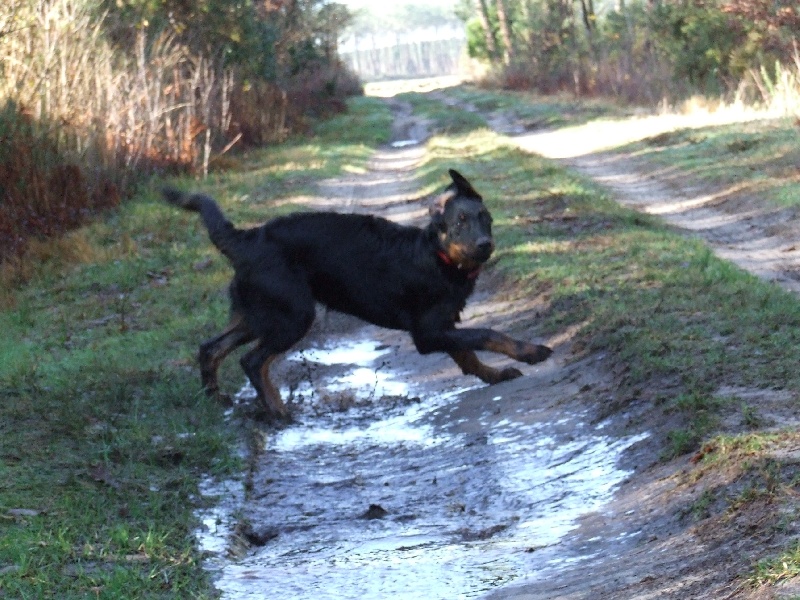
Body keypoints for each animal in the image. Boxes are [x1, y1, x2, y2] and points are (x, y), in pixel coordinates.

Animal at [162, 169, 552, 422]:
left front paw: (495, 375)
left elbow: (467, 355)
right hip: (293, 315)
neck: (439, 257)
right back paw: (279, 413)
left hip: (257, 314)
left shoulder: (442, 326)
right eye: (460, 224)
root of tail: (247, 240)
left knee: (211, 348)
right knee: (253, 361)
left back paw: (215, 398)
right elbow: (486, 333)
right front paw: (531, 352)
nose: (485, 244)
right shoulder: (427, 332)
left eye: (485, 217)